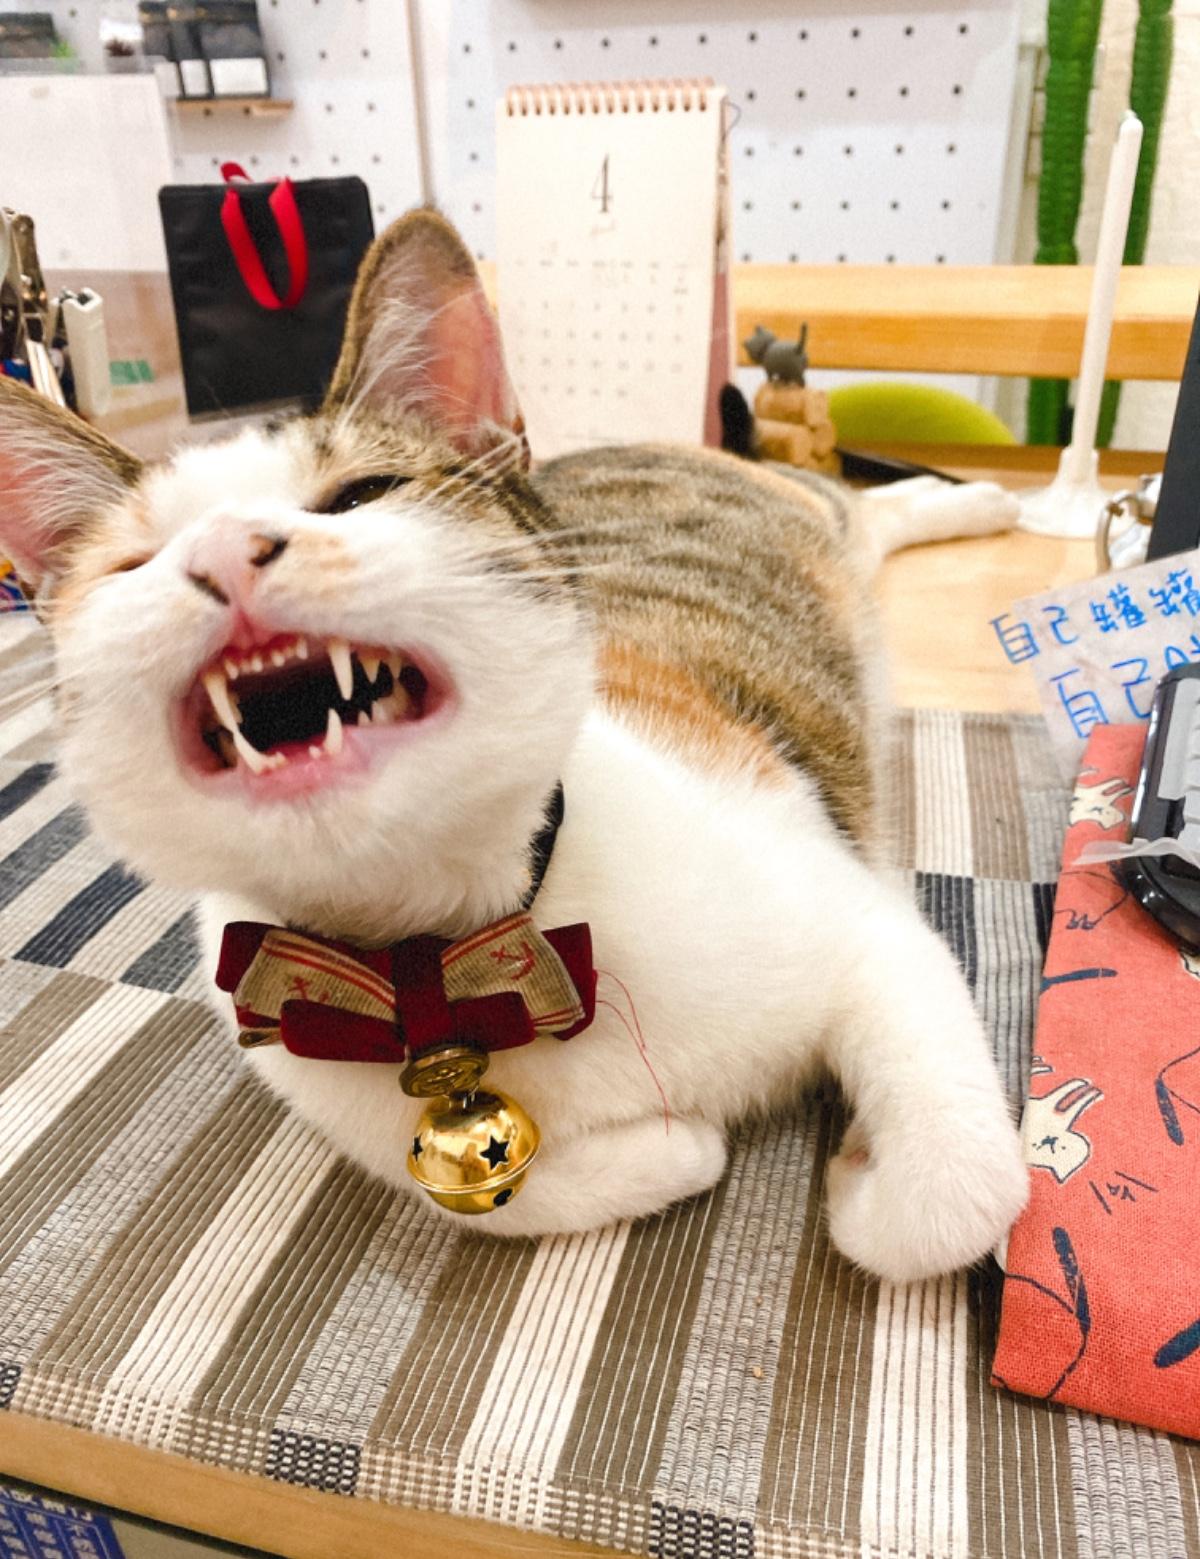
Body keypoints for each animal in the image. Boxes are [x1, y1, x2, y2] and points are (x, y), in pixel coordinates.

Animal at [0, 209, 1028, 1282]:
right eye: (134, 565)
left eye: (361, 494)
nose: (222, 552)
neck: (443, 966)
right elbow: (477, 1194)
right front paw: (675, 1146)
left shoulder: (857, 920)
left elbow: (953, 1192)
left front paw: (863, 1179)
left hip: (806, 513)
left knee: (862, 502)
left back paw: (982, 502)